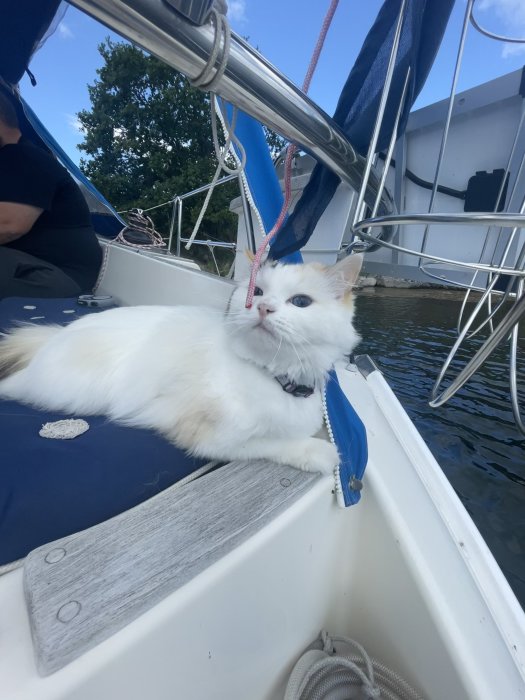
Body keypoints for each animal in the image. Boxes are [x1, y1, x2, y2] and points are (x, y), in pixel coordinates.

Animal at [0, 254, 360, 474]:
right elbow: (278, 443)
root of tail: (54, 335)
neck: (273, 376)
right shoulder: (211, 438)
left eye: (300, 302)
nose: (263, 308)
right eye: (257, 292)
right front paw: (322, 454)